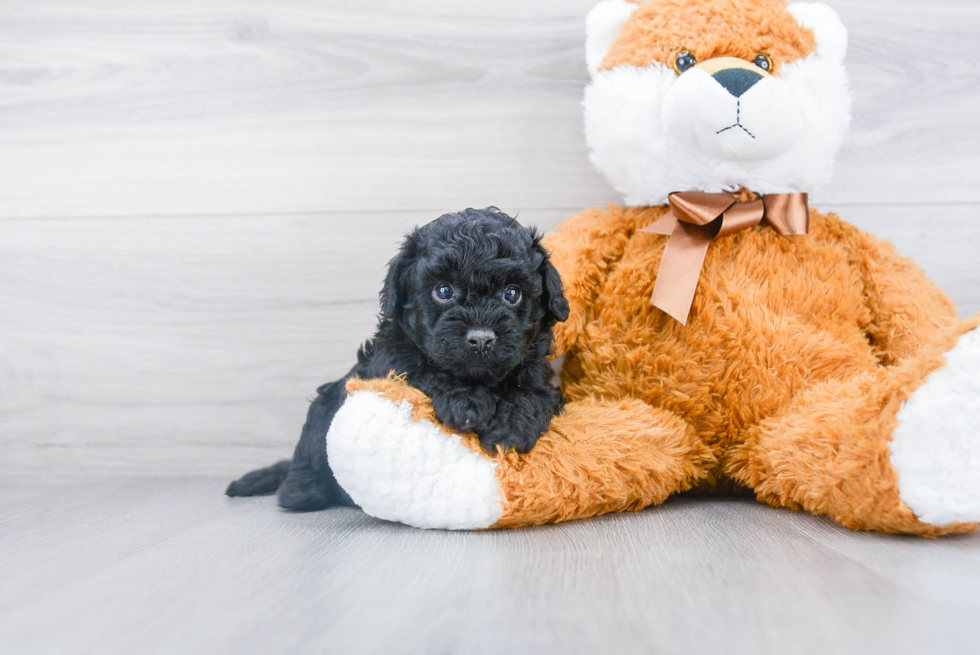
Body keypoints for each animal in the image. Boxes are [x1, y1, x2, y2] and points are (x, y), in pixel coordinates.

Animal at [227, 210, 572, 512]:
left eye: (512, 294)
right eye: (443, 291)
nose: (481, 339)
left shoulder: (539, 375)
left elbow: (531, 394)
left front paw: (509, 430)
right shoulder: (390, 362)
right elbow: (423, 369)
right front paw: (467, 404)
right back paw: (304, 490)